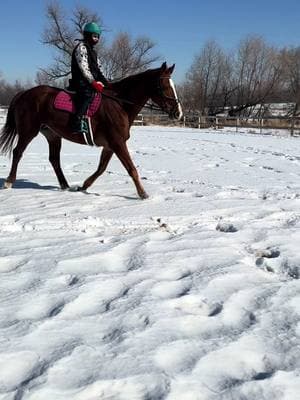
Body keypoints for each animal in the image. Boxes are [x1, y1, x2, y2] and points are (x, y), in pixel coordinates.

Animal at [0, 62, 183, 198]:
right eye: (164, 86)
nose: (178, 113)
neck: (119, 104)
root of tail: (24, 93)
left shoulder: (110, 146)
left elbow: (101, 168)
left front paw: (84, 186)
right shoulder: (117, 143)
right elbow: (131, 169)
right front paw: (142, 193)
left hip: (53, 135)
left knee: (54, 159)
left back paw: (65, 185)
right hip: (28, 131)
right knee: (18, 152)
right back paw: (9, 181)